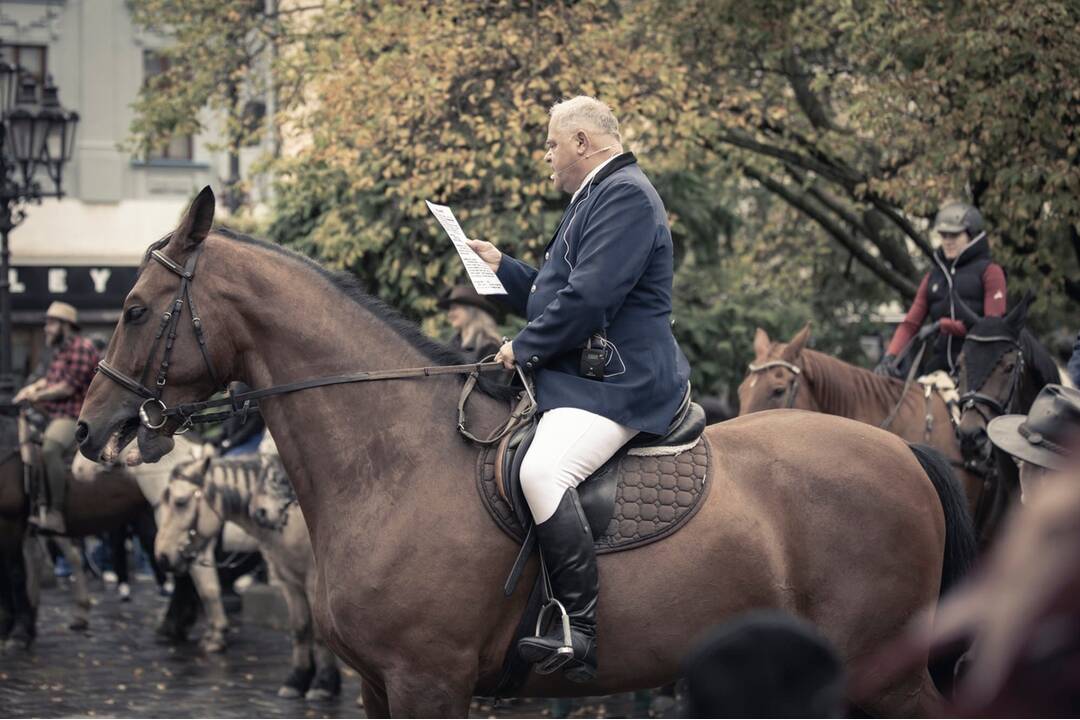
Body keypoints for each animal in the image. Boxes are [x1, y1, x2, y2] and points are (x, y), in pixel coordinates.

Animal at [76, 188, 972, 716]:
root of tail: (903, 455)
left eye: (134, 307)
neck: (391, 460)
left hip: (885, 673)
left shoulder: (426, 682)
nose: (89, 430)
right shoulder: (375, 684)